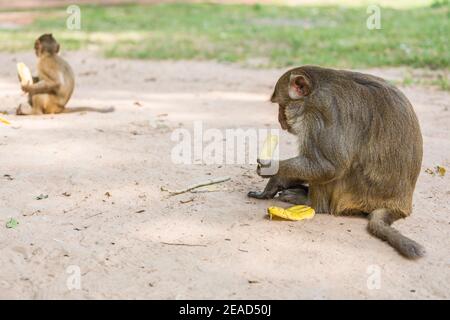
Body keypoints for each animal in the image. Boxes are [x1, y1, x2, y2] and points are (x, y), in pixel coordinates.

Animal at [248, 66, 424, 258]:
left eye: (281, 105)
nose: (280, 120)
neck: (315, 90)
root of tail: (400, 204)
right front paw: (276, 182)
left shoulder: (321, 110)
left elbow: (330, 167)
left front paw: (273, 170)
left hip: (356, 194)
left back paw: (311, 202)